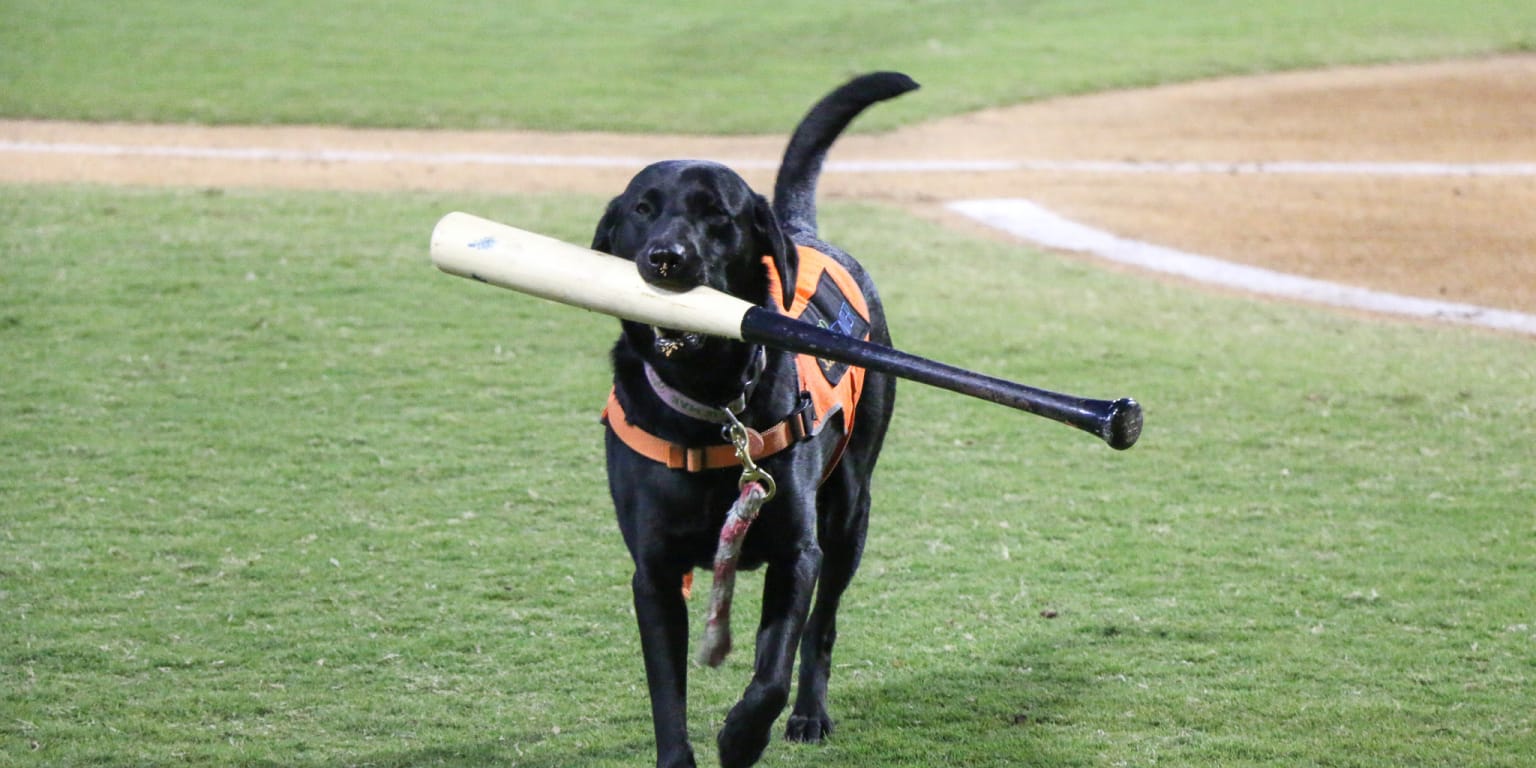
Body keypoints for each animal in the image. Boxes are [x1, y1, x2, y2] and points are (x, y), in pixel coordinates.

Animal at [589, 73, 915, 768]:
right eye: (642, 210)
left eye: (719, 214)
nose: (665, 258)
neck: (710, 406)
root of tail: (796, 227)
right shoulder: (655, 574)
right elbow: (667, 696)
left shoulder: (798, 554)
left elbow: (773, 670)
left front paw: (741, 736)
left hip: (849, 514)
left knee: (822, 628)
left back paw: (810, 714)